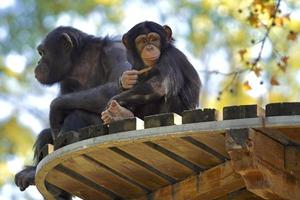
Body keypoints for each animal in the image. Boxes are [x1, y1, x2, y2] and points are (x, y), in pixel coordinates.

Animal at [14, 25, 130, 198]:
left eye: (42, 53)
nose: (38, 62)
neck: (80, 63)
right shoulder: (65, 79)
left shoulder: (116, 52)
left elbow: (122, 84)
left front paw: (55, 107)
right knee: (47, 133)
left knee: (78, 115)